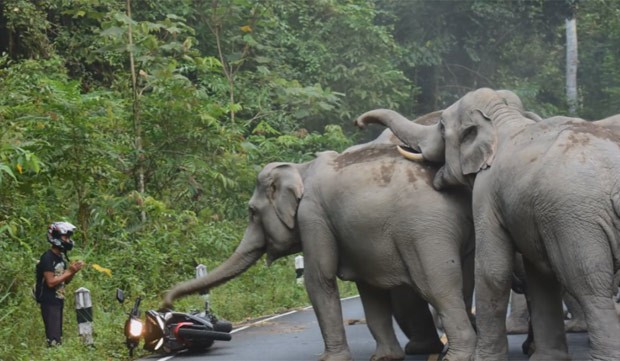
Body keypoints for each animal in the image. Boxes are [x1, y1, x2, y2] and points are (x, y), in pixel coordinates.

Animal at [356, 87, 620, 360]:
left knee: (589, 285)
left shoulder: (486, 192)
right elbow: (538, 275)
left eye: (441, 127)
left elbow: (492, 270)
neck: (502, 119)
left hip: (576, 220)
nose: (358, 122)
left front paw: (483, 358)